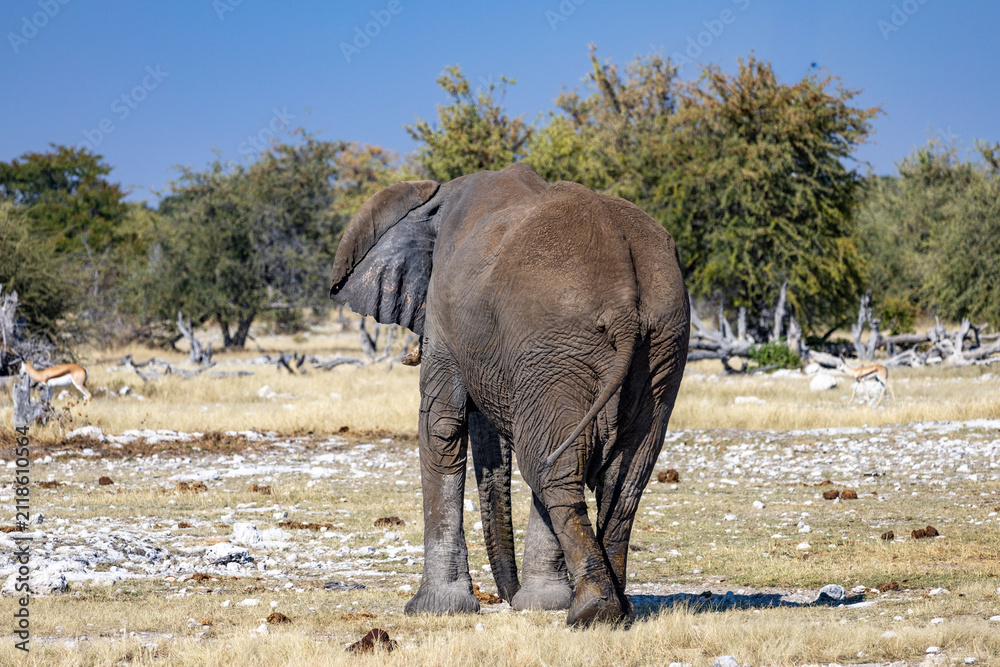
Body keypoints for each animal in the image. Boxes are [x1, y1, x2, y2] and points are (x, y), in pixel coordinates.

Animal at [329, 164, 689, 626]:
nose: (505, 595)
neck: (435, 196)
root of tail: (626, 301)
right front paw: (541, 603)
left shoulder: (447, 314)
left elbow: (441, 427)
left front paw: (434, 610)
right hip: (658, 343)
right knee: (620, 477)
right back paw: (616, 609)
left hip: (559, 340)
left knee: (550, 466)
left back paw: (592, 611)